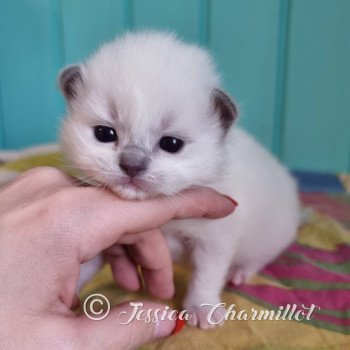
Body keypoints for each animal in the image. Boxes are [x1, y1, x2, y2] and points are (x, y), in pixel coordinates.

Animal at [58, 31, 300, 330]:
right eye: (104, 133)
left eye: (171, 144)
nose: (132, 165)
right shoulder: (114, 237)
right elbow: (88, 262)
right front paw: (71, 289)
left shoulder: (216, 236)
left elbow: (207, 274)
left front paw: (202, 309)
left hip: (270, 236)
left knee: (258, 258)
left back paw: (240, 272)